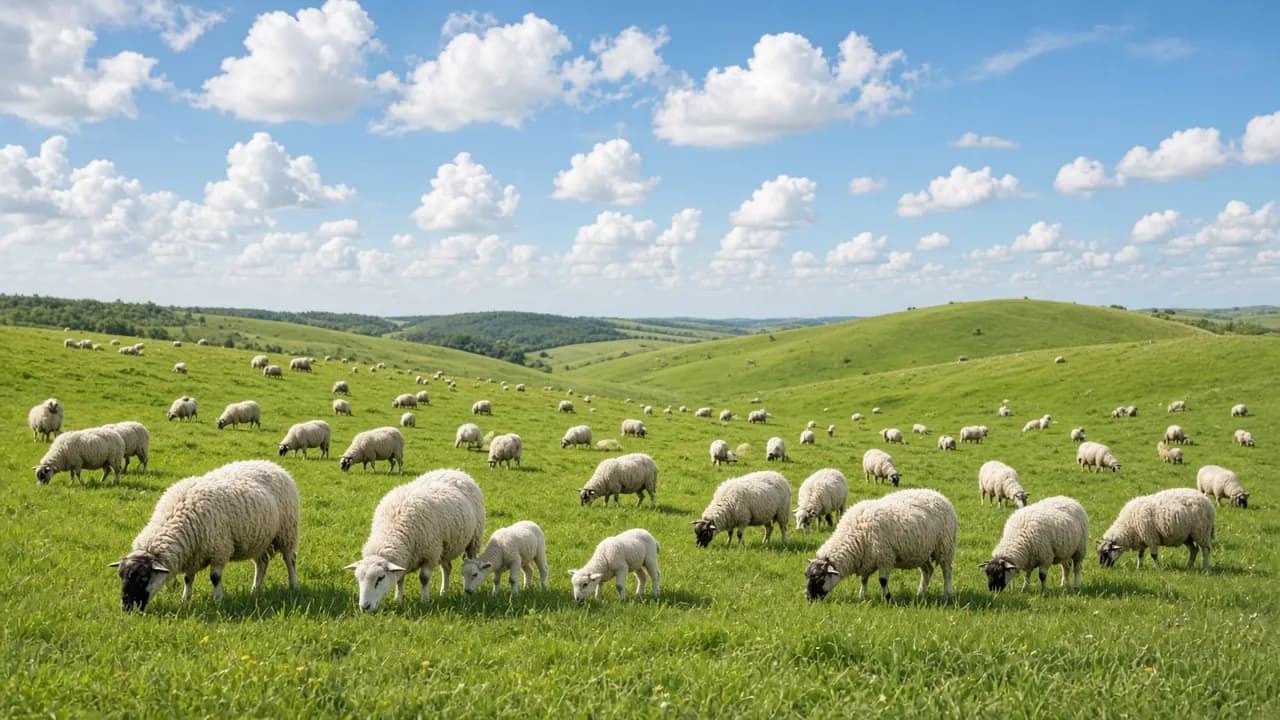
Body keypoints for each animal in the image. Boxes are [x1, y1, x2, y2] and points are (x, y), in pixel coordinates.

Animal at [110, 460, 299, 611]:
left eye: (143, 578)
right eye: (121, 576)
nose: (126, 608)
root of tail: (272, 464)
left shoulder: (219, 550)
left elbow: (214, 578)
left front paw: (218, 599)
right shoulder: (192, 555)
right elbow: (188, 578)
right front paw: (185, 599)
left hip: (287, 532)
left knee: (290, 560)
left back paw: (293, 585)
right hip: (259, 539)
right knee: (261, 564)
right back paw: (255, 590)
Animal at [345, 469, 485, 610]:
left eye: (380, 578)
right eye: (358, 579)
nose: (365, 607)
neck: (393, 530)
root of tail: (454, 470)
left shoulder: (430, 555)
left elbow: (424, 578)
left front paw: (424, 600)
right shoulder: (405, 559)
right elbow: (399, 580)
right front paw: (398, 599)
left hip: (474, 539)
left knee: (472, 563)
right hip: (445, 547)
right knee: (447, 568)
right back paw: (444, 592)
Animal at [804, 488, 957, 601]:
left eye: (820, 579)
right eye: (808, 576)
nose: (808, 597)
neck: (855, 535)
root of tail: (939, 495)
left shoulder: (885, 558)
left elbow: (882, 580)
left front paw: (887, 598)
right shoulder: (865, 560)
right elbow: (863, 579)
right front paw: (862, 596)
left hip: (945, 547)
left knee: (947, 571)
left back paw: (947, 593)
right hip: (921, 552)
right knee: (927, 570)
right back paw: (921, 593)